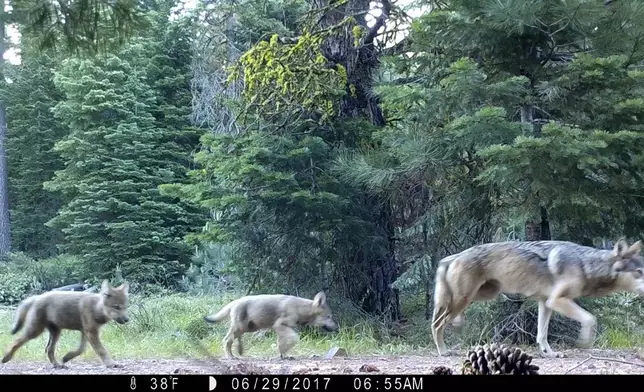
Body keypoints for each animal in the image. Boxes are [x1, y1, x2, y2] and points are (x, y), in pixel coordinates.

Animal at [1, 280, 130, 370]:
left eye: (125, 307)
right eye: (116, 307)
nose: (127, 319)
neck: (96, 308)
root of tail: (37, 297)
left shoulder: (85, 332)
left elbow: (80, 349)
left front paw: (67, 357)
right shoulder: (91, 332)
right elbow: (101, 350)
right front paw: (111, 364)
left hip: (56, 332)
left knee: (48, 350)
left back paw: (58, 365)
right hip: (35, 331)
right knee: (16, 341)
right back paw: (6, 358)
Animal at [205, 290, 338, 358]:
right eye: (329, 317)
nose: (337, 328)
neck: (300, 309)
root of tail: (235, 301)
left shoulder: (283, 328)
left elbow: (283, 342)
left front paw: (284, 355)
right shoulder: (279, 325)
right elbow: (293, 338)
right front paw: (283, 353)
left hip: (248, 328)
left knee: (234, 339)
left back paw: (239, 352)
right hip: (241, 328)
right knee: (227, 340)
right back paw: (231, 356)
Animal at [432, 239, 644, 358]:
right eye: (639, 272)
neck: (586, 264)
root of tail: (453, 257)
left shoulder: (546, 302)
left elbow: (542, 334)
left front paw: (548, 354)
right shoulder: (556, 300)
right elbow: (590, 319)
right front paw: (584, 342)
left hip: (482, 295)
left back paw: (457, 325)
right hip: (464, 299)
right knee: (436, 324)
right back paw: (443, 351)